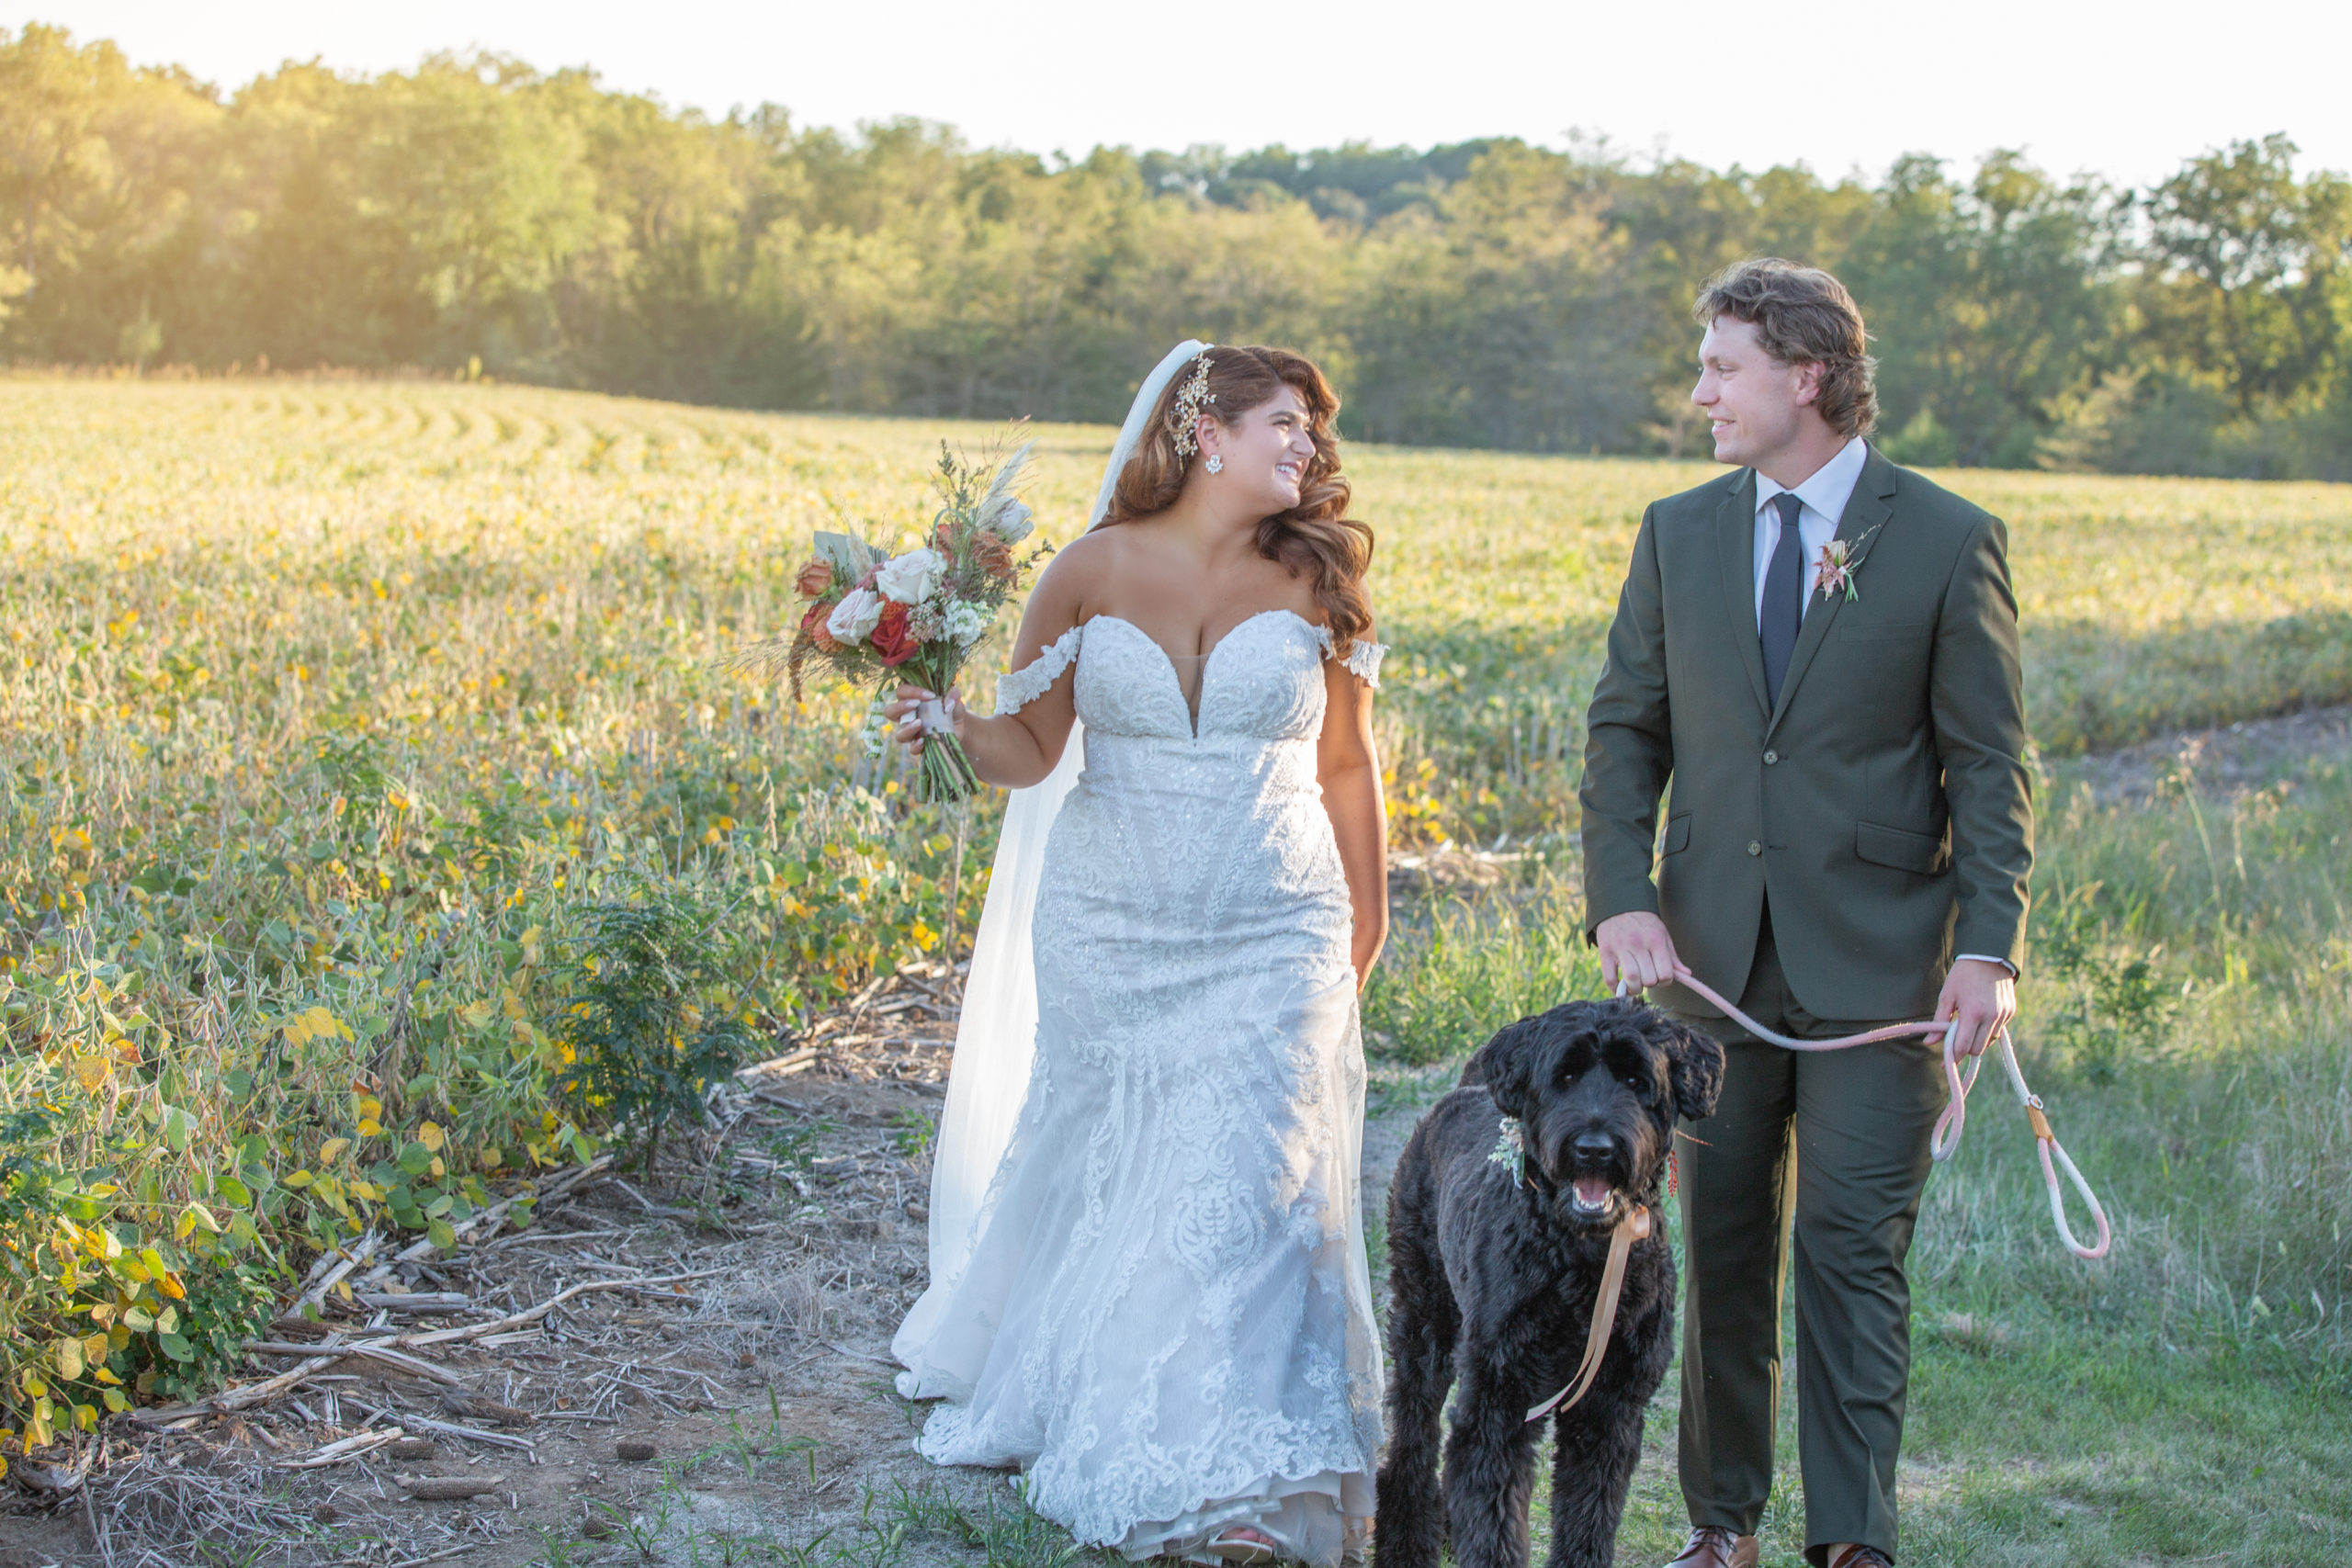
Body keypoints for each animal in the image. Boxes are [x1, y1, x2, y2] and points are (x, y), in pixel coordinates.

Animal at [1374, 1001, 1731, 1568]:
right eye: (1564, 1077)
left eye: (1636, 1080)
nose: (1594, 1149)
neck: (1580, 1261)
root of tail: (1469, 1087)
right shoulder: (1499, 1401)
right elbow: (1494, 1520)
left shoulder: (1610, 1408)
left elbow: (1588, 1515)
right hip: (1423, 1320)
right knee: (1413, 1435)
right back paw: (1406, 1545)